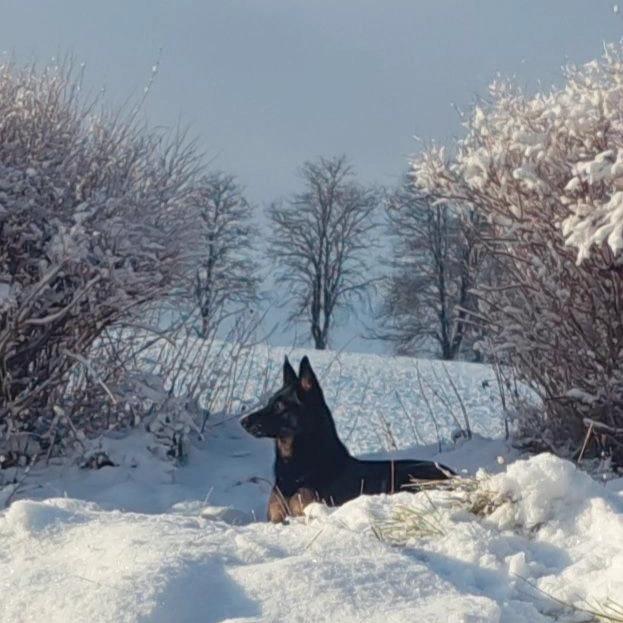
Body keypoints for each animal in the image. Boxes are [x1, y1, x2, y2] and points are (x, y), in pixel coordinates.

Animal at [240, 356, 454, 520]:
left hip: (405, 476)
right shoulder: (275, 517)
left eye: (279, 406)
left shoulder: (307, 510)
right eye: (269, 402)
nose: (243, 421)